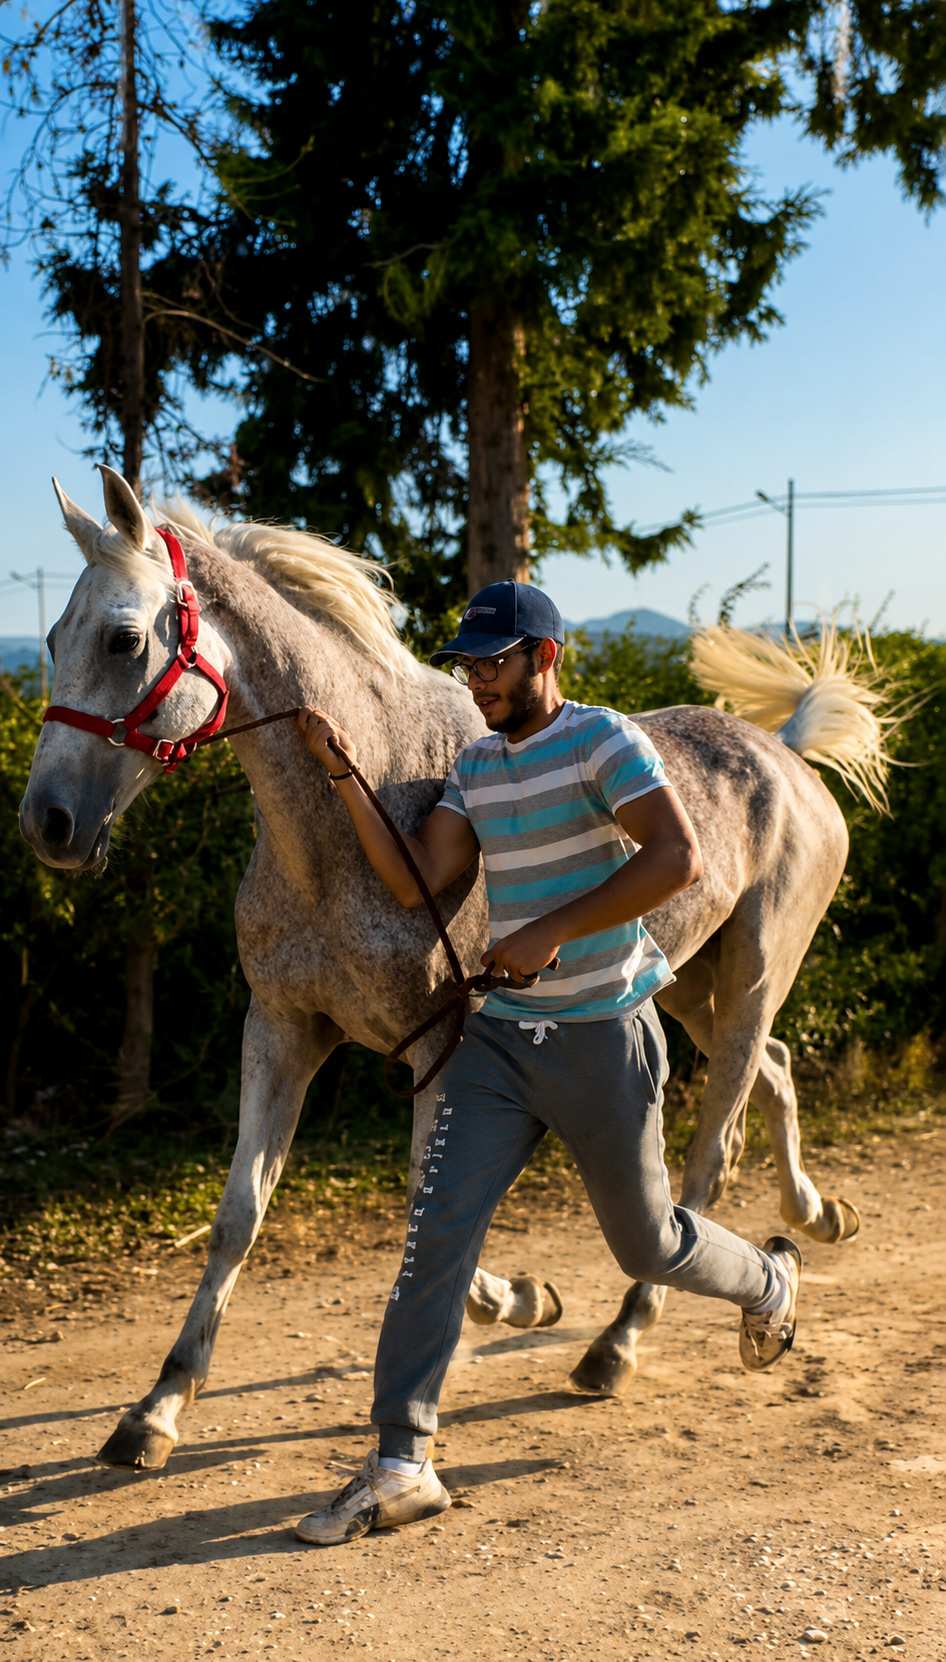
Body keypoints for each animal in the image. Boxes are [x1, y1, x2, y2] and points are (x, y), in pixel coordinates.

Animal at [19, 464, 885, 1470]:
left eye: (123, 638)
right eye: (53, 637)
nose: (48, 824)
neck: (358, 820)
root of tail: (784, 753)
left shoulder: (441, 1044)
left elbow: (428, 1209)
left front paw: (517, 1299)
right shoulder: (281, 1028)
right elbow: (243, 1214)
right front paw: (156, 1408)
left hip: (747, 983)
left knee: (705, 1163)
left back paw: (620, 1342)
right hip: (694, 989)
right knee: (774, 1076)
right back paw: (819, 1215)